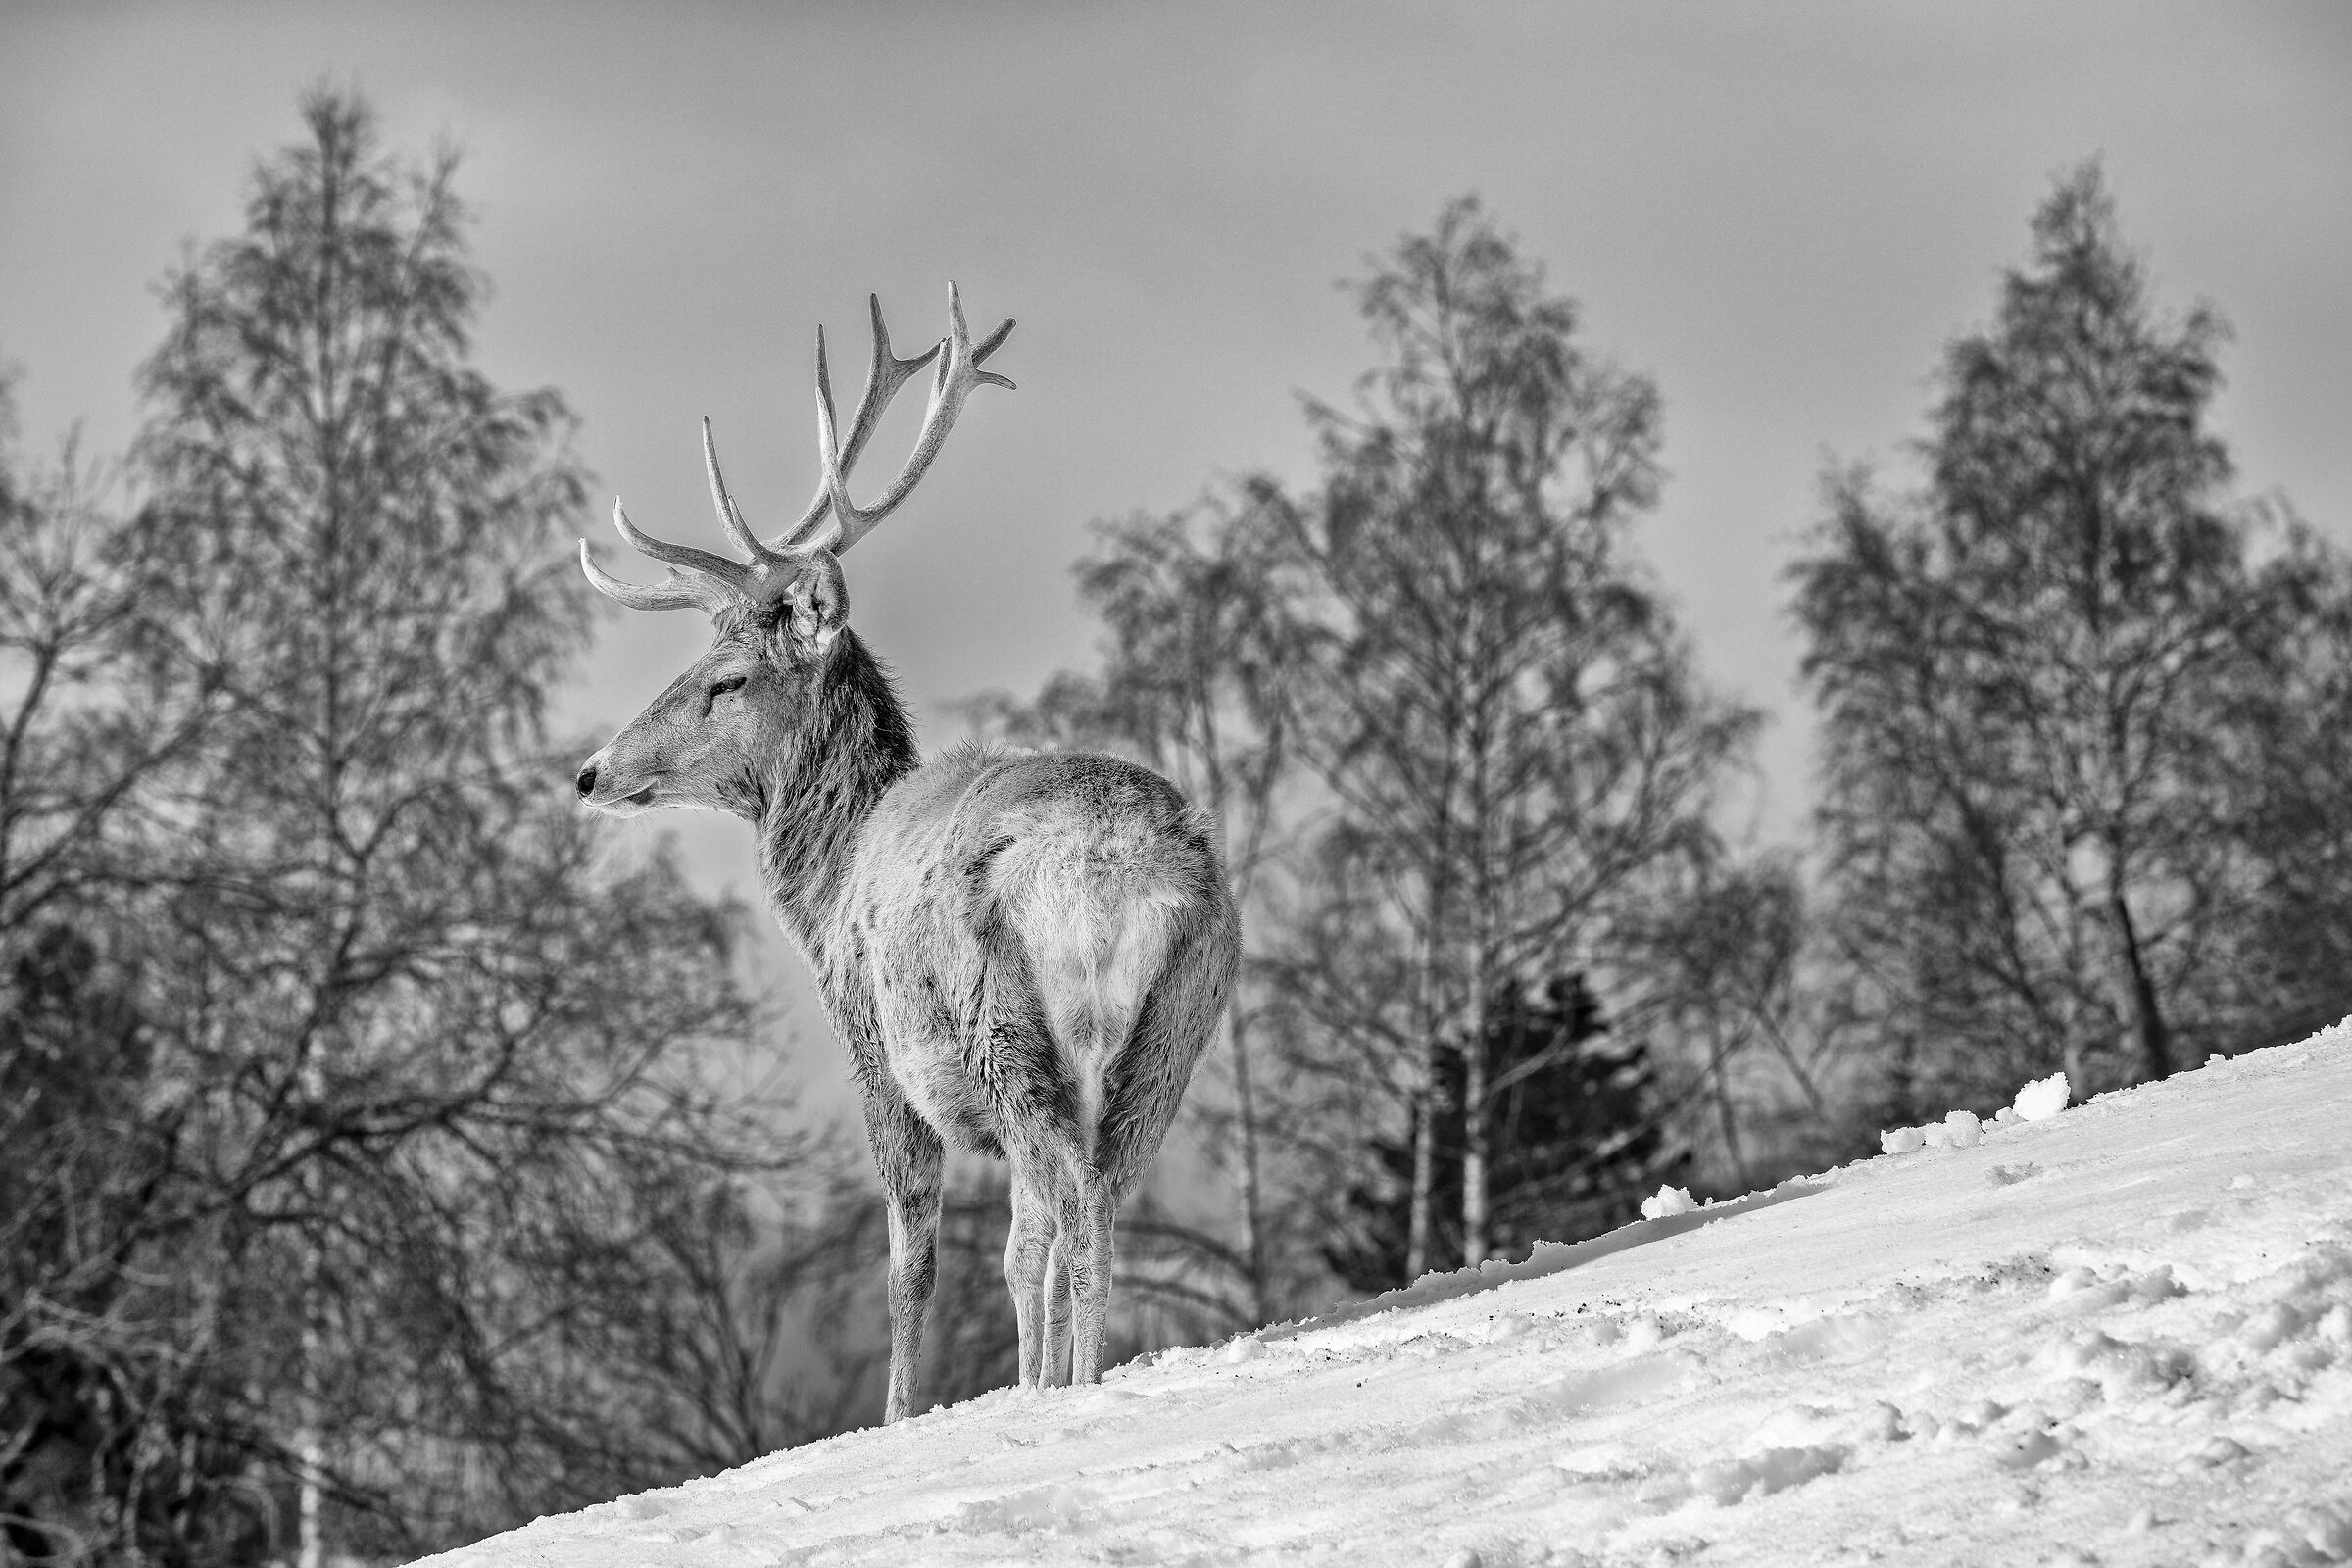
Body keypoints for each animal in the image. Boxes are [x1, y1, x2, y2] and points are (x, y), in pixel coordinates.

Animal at [574, 286, 1239, 1424]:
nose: (589, 772)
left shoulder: (870, 1043)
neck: (830, 878)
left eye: (725, 678)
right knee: (1095, 1204)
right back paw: (1073, 1379)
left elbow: (910, 1262)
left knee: (1061, 1217)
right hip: (1173, 1031)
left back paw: (1061, 1392)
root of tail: (1123, 873)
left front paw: (897, 1415)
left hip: (1003, 1021)